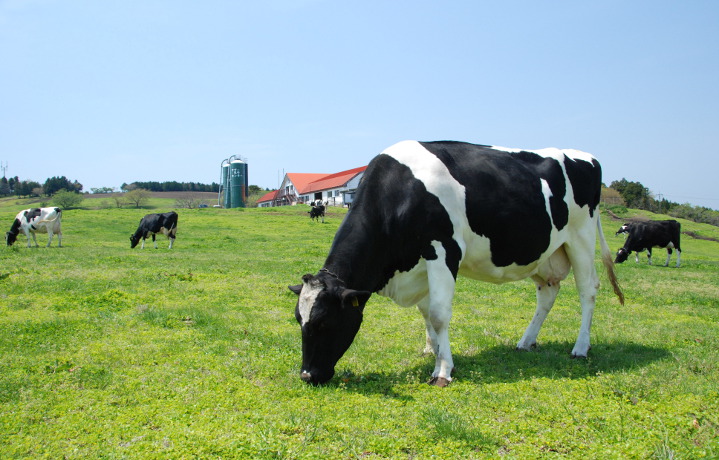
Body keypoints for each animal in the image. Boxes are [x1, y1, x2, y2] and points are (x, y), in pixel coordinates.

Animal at [288, 141, 624, 388]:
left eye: (324, 322)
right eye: (299, 319)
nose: (307, 375)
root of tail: (588, 156)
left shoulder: (443, 250)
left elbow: (438, 314)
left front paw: (443, 370)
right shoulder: (420, 265)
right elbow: (426, 314)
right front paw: (436, 353)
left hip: (581, 237)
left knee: (587, 290)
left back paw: (580, 348)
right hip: (546, 253)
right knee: (548, 293)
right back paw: (525, 341)